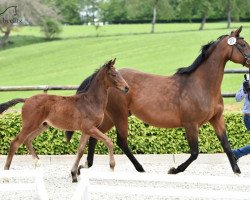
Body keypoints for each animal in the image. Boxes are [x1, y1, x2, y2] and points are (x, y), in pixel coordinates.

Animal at [0, 58, 129, 182]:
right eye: (113, 74)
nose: (127, 88)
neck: (90, 102)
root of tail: (26, 99)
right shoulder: (89, 128)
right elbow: (109, 141)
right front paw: (111, 167)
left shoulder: (86, 130)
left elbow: (80, 150)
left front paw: (74, 175)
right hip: (30, 125)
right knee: (15, 143)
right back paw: (6, 177)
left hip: (42, 125)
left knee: (27, 140)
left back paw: (38, 163)